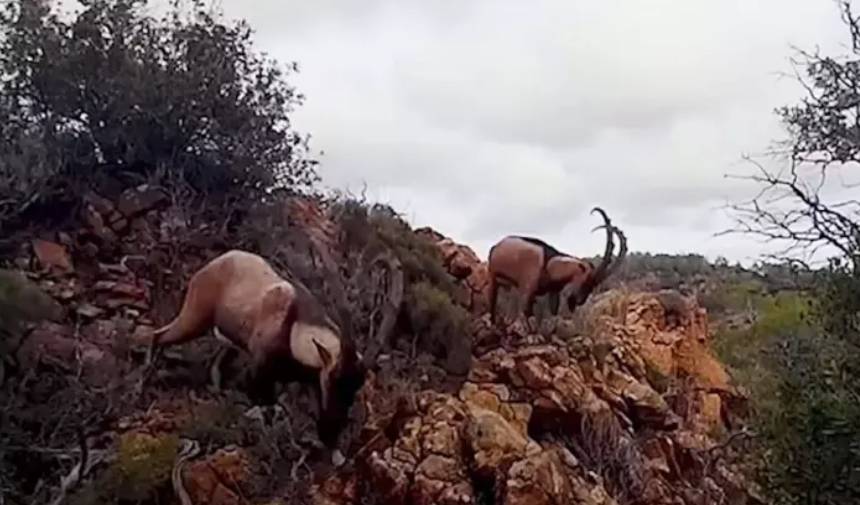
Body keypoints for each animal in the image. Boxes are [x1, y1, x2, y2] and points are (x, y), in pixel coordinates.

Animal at [149, 249, 404, 464]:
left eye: (356, 387)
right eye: (333, 379)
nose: (331, 430)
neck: (294, 325)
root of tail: (215, 263)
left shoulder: (309, 381)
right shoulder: (261, 372)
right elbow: (264, 408)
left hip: (227, 341)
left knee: (214, 365)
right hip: (194, 317)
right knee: (158, 336)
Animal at [490, 206, 624, 320]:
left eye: (593, 285)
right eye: (587, 280)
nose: (576, 301)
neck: (549, 264)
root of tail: (495, 247)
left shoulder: (554, 292)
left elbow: (553, 312)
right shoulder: (527, 291)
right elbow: (527, 314)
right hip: (493, 279)